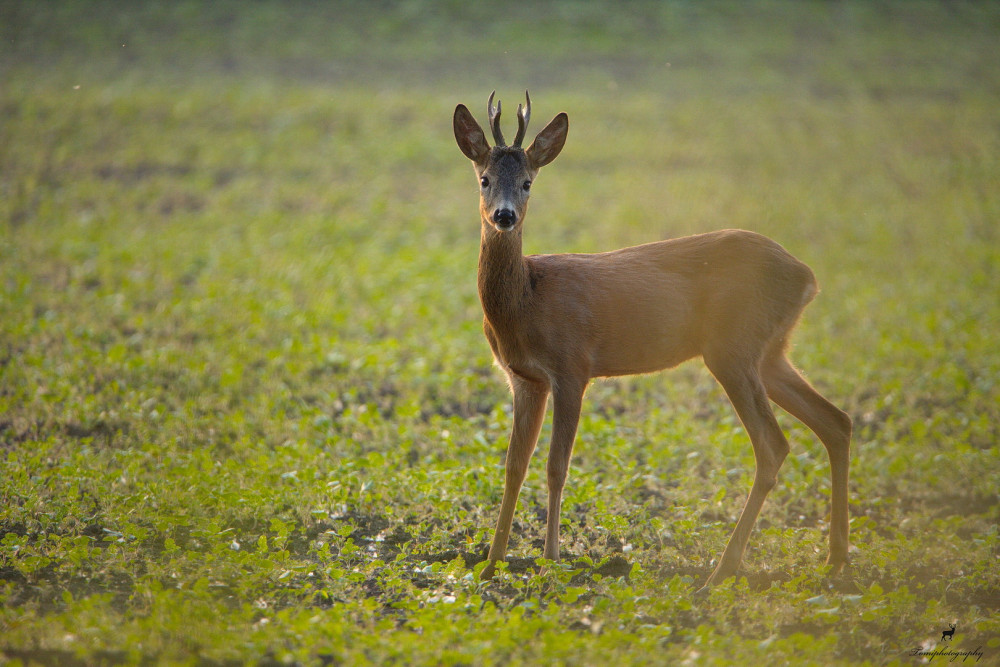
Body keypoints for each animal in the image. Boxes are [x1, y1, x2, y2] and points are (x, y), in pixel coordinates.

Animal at [454, 90, 852, 588]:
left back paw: (721, 572)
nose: (504, 215)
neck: (528, 299)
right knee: (836, 421)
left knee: (773, 445)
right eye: (484, 179)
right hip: (770, 353)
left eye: (527, 182)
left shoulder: (572, 366)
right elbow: (513, 467)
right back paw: (835, 558)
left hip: (733, 348)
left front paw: (550, 562)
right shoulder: (525, 379)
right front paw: (490, 566)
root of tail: (808, 277)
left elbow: (556, 467)